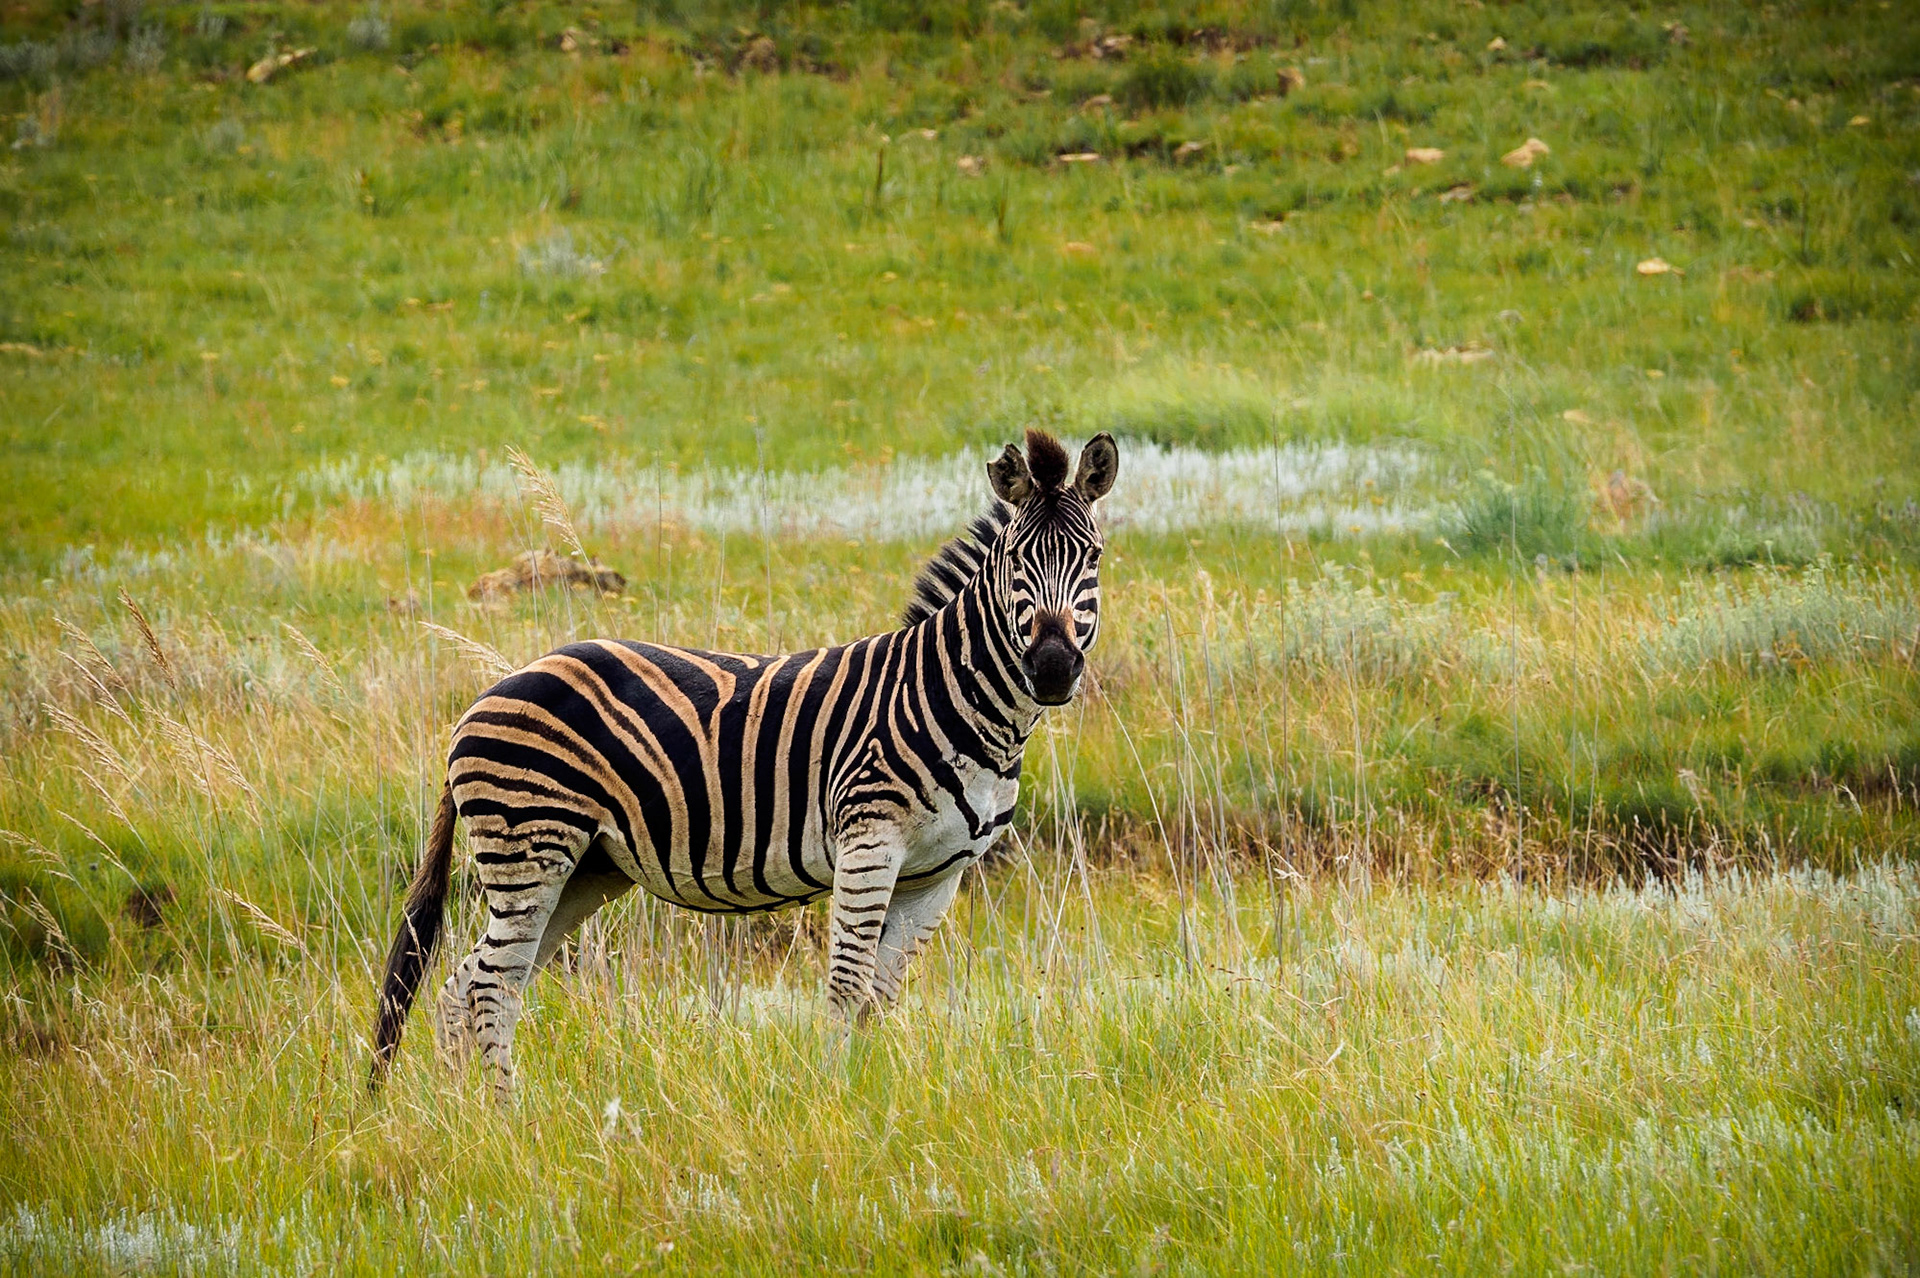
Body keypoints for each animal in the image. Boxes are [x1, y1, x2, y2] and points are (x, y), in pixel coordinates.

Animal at [369, 429, 1119, 1099]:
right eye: (1015, 561)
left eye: (1093, 557)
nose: (1054, 668)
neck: (959, 702)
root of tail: (487, 695)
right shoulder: (869, 841)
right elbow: (846, 986)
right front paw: (832, 1103)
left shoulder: (938, 873)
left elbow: (881, 995)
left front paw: (877, 1102)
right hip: (530, 843)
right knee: (490, 985)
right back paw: (506, 1119)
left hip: (585, 867)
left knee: (468, 984)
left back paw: (465, 1120)